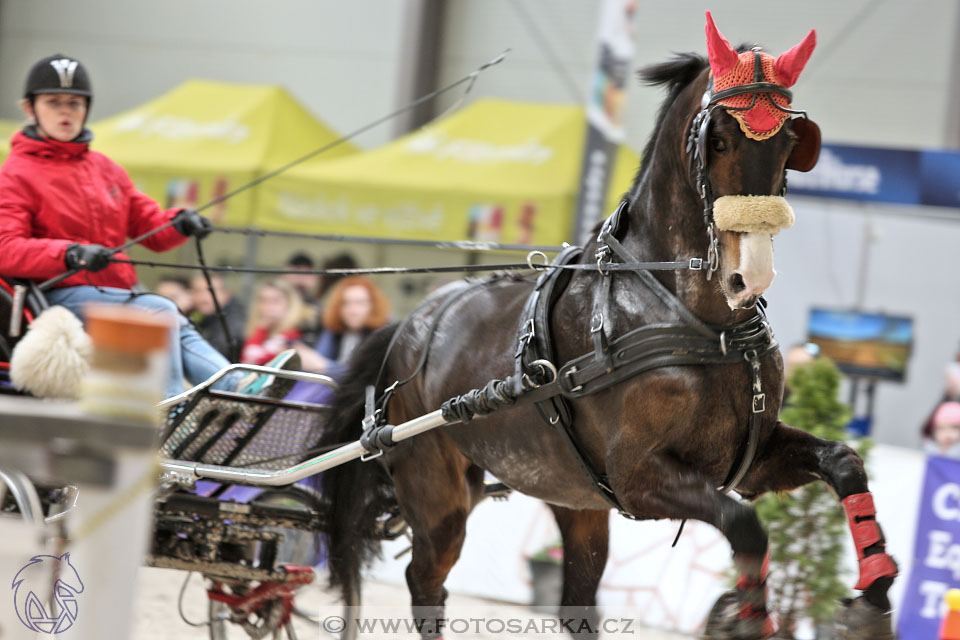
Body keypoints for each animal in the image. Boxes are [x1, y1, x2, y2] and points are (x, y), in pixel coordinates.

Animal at [318, 12, 896, 636]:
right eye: (718, 140)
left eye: (792, 143)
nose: (751, 275)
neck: (700, 325)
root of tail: (410, 324)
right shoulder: (640, 478)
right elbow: (745, 527)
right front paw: (743, 616)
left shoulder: (750, 460)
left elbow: (844, 463)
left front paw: (873, 596)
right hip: (438, 494)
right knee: (426, 581)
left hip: (576, 499)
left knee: (575, 603)